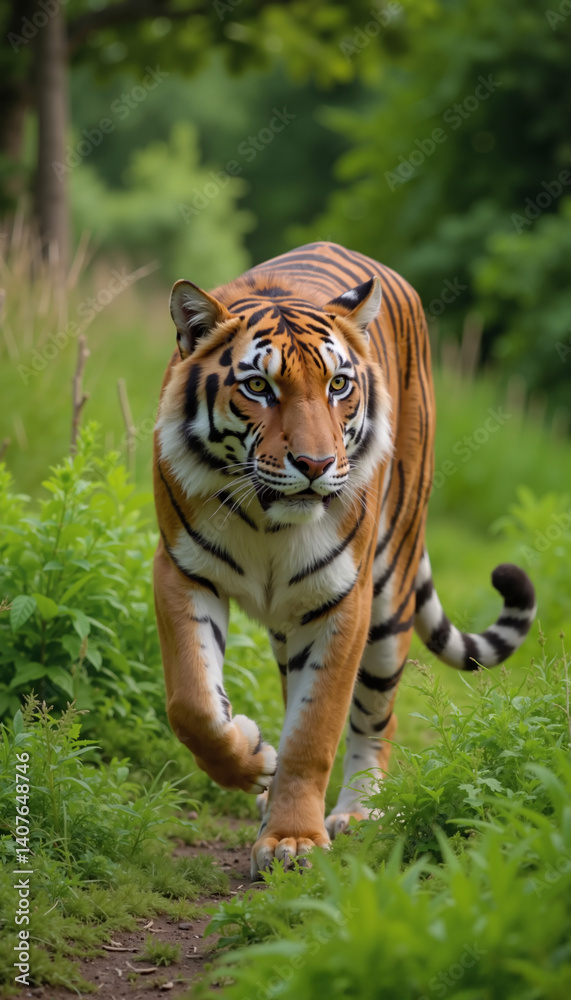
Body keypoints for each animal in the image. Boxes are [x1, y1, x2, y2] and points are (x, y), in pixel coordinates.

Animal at [152, 241, 536, 878]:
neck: (266, 516)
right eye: (258, 387)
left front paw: (293, 839)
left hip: (387, 591)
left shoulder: (341, 597)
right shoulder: (183, 573)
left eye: (337, 385)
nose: (316, 464)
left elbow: (316, 729)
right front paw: (253, 758)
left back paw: (358, 812)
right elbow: (194, 703)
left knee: (380, 714)